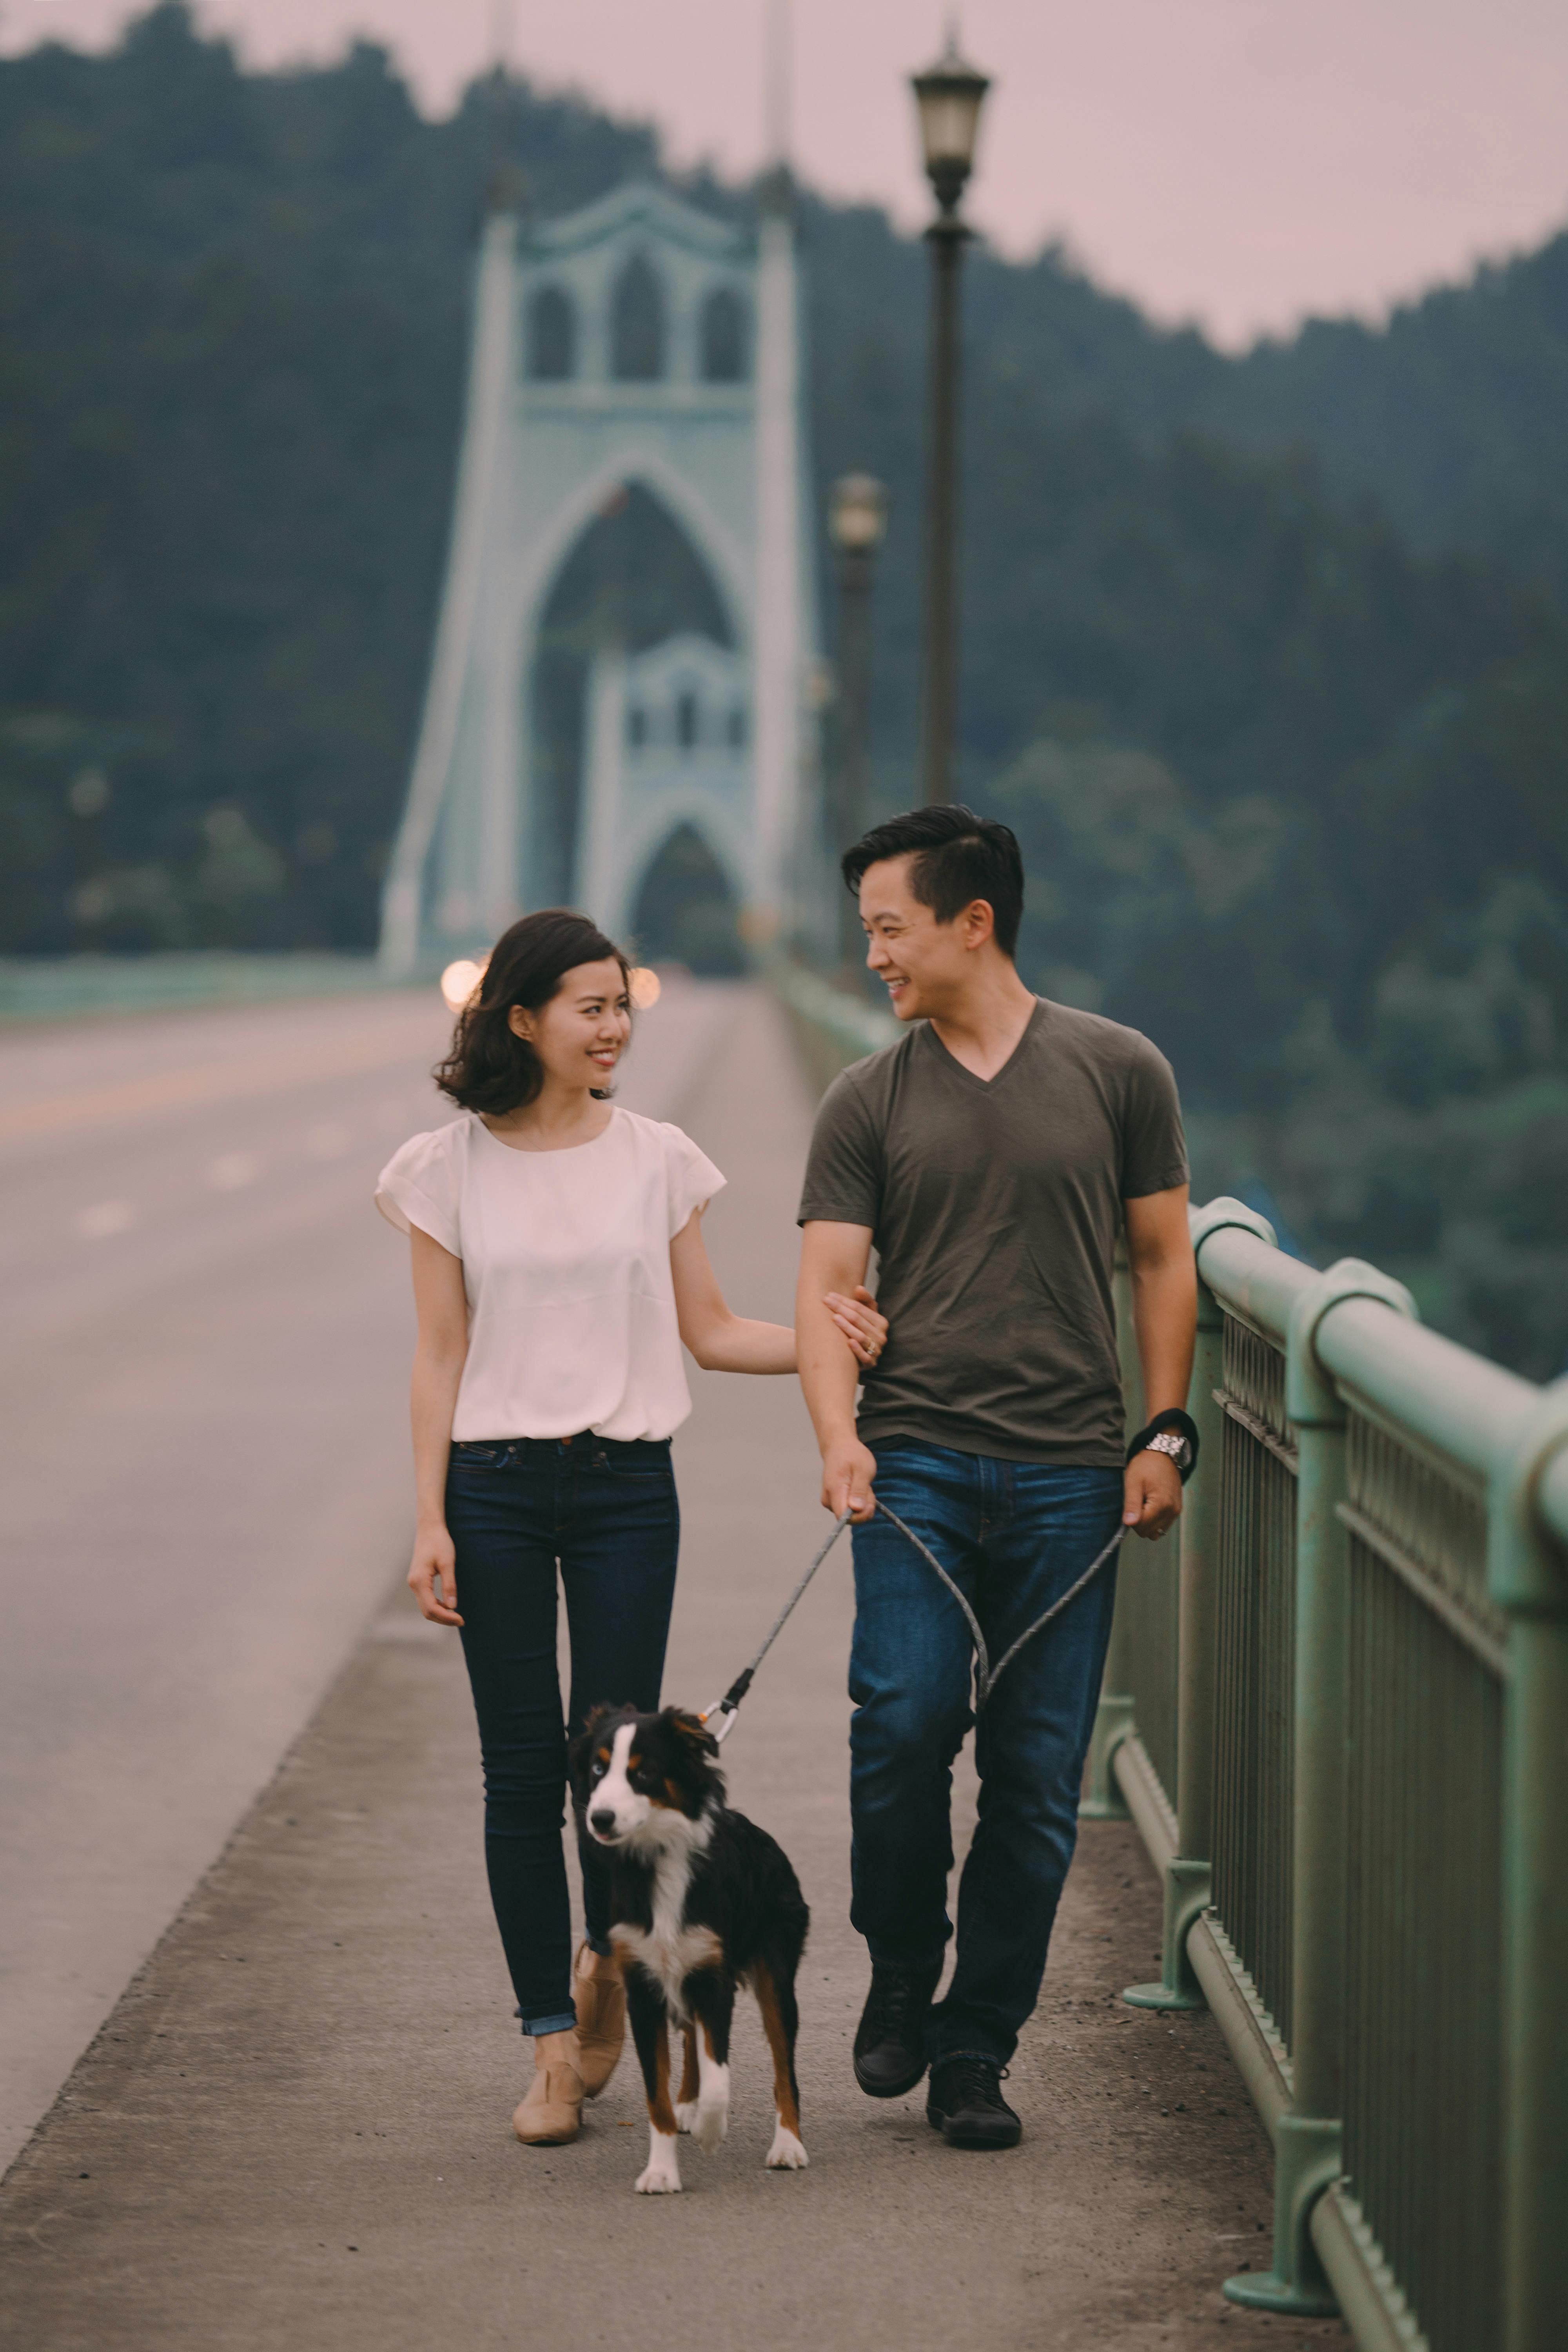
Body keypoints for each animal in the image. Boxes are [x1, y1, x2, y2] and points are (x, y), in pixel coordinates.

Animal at [571, 1712, 808, 2183]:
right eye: (598, 1769)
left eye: (644, 1773)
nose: (600, 1819)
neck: (661, 1856)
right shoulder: (643, 1987)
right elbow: (656, 2094)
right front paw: (662, 2172)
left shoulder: (712, 1978)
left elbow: (720, 2075)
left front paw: (710, 2133)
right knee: (689, 2039)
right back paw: (687, 2105)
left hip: (775, 1973)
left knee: (783, 2067)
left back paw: (788, 2145)